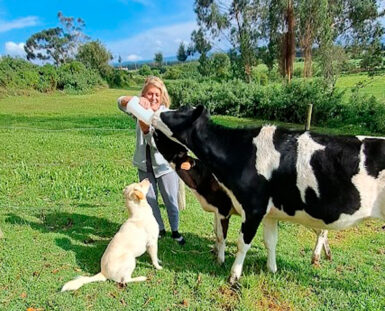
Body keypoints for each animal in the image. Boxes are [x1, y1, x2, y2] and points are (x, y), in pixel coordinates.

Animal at [152, 106, 382, 284]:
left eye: (179, 111)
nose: (156, 112)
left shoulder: (252, 208)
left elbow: (242, 242)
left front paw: (233, 275)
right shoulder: (269, 212)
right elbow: (270, 241)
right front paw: (272, 269)